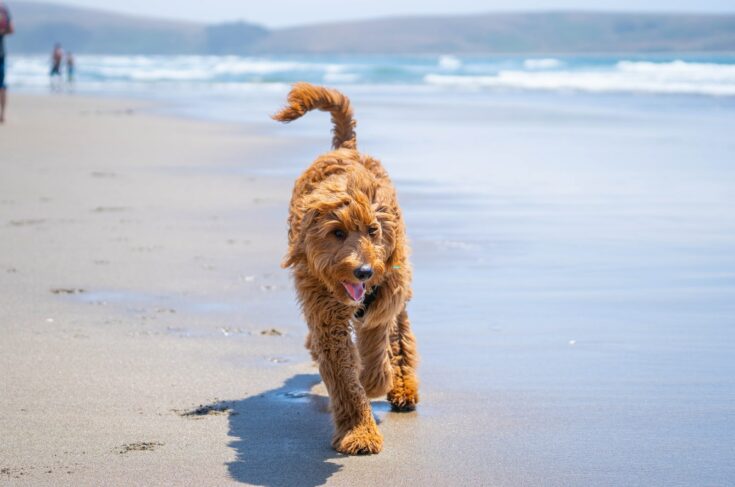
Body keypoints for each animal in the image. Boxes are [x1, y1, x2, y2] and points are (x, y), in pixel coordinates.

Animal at [274, 83, 420, 454]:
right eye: (337, 233)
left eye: (373, 230)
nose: (364, 272)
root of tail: (345, 147)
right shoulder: (326, 316)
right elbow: (343, 377)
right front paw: (359, 430)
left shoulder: (384, 296)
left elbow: (378, 343)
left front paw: (375, 381)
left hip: (399, 284)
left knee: (400, 334)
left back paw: (402, 386)